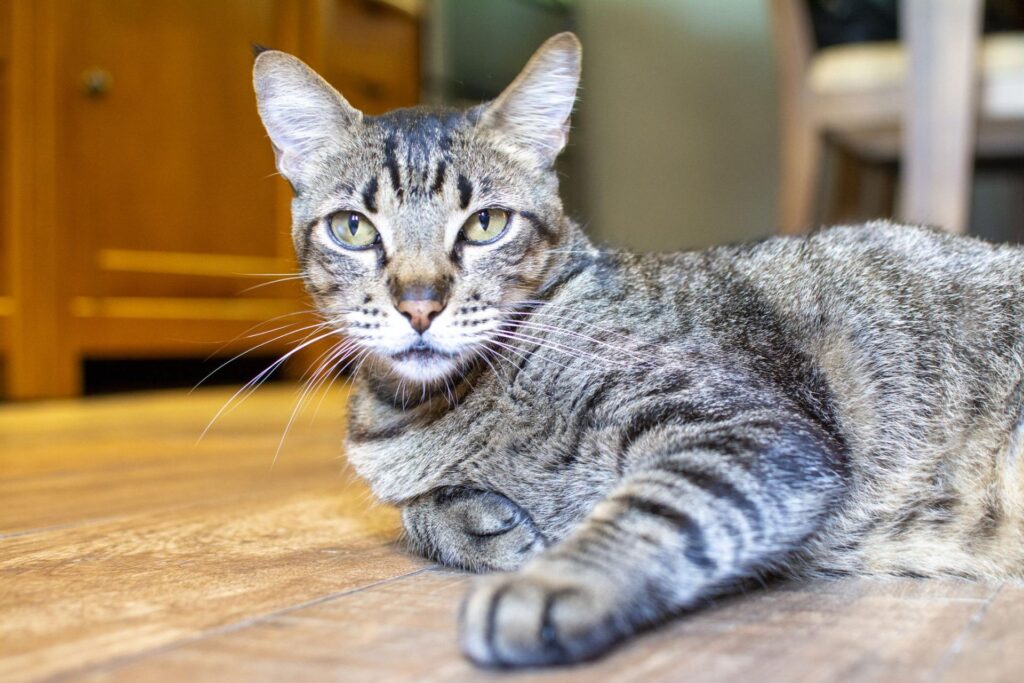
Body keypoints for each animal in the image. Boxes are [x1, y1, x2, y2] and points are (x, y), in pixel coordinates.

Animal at [253, 31, 1024, 667]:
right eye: (353, 228)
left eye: (487, 224)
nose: (419, 302)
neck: (425, 408)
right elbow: (415, 513)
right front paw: (481, 523)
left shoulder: (756, 425)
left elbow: (652, 506)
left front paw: (547, 581)